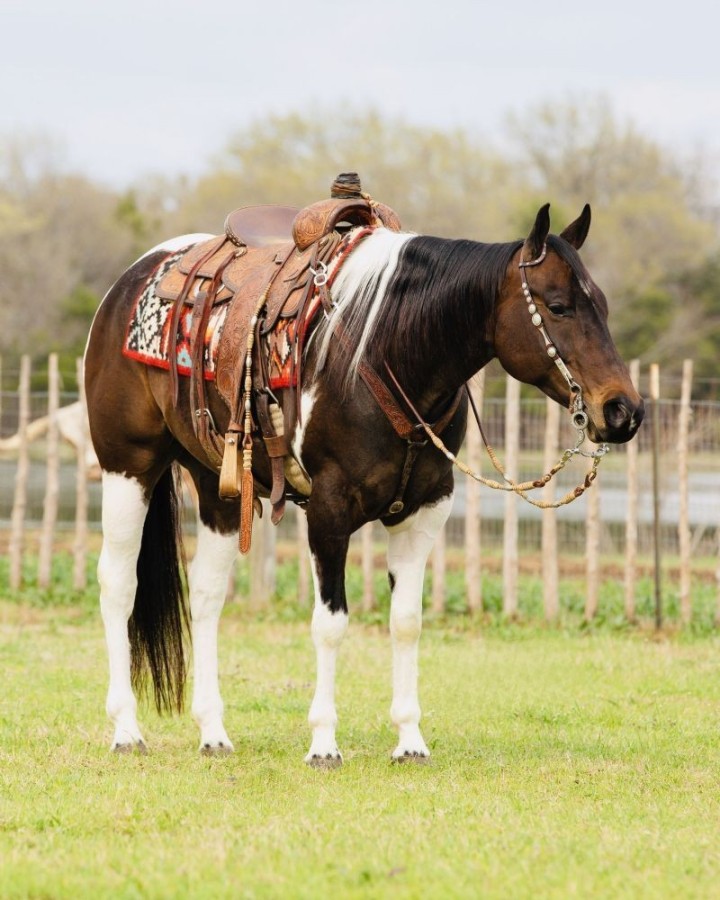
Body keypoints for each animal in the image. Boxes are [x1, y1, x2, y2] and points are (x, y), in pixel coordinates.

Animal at [84, 193, 644, 766]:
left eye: (601, 305)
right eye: (558, 306)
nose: (623, 410)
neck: (387, 353)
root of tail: (129, 281)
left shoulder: (424, 512)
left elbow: (407, 622)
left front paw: (410, 740)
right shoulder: (328, 511)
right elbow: (330, 624)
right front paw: (323, 743)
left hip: (217, 485)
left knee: (206, 592)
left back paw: (212, 731)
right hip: (127, 466)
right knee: (118, 584)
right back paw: (126, 729)